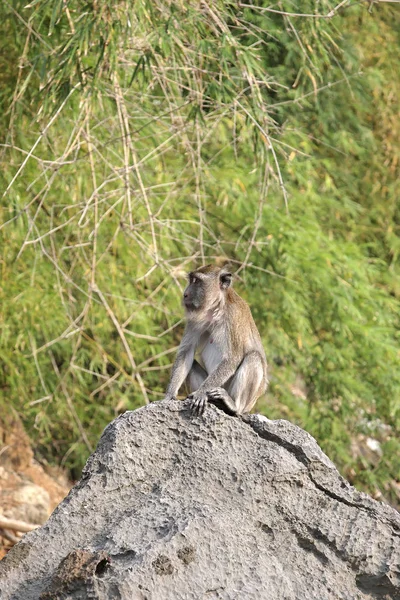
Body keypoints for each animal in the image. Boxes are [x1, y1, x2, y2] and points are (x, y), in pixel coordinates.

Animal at [164, 264, 268, 414]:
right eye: (191, 280)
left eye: (197, 281)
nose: (185, 294)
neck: (216, 308)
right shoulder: (195, 319)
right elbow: (186, 352)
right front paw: (169, 395)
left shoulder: (233, 316)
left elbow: (232, 359)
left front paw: (201, 392)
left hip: (246, 401)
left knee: (254, 357)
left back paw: (234, 406)